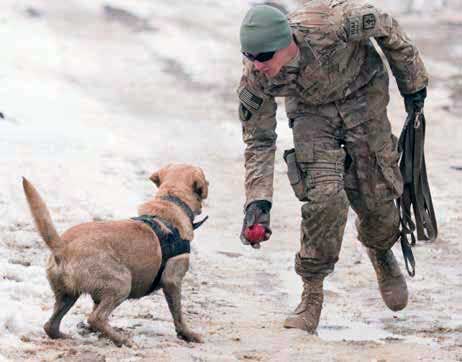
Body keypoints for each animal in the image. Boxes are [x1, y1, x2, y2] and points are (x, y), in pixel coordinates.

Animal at [22, 164, 209, 348]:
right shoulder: (172, 281)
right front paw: (187, 334)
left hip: (68, 295)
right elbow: (178, 313)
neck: (171, 201)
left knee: (51, 325)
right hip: (122, 282)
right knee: (96, 318)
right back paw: (122, 340)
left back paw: (69, 336)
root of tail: (62, 246)